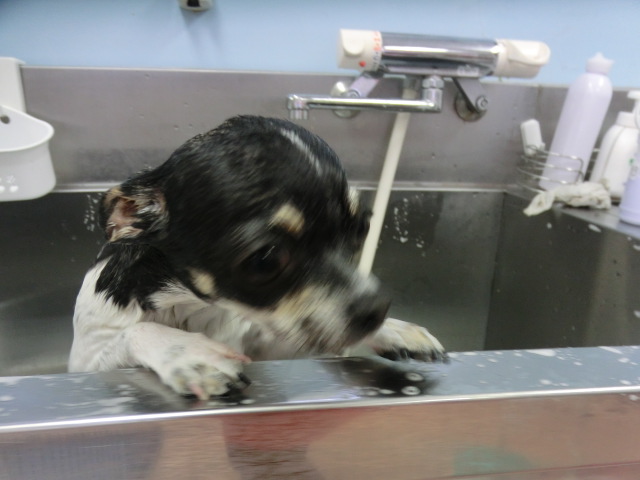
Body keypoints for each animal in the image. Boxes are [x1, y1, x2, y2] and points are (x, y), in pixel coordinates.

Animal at [69, 115, 446, 400]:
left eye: (361, 228)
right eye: (266, 260)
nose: (375, 309)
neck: (191, 309)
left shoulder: (269, 342)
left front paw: (396, 329)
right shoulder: (86, 364)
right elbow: (136, 331)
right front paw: (191, 353)